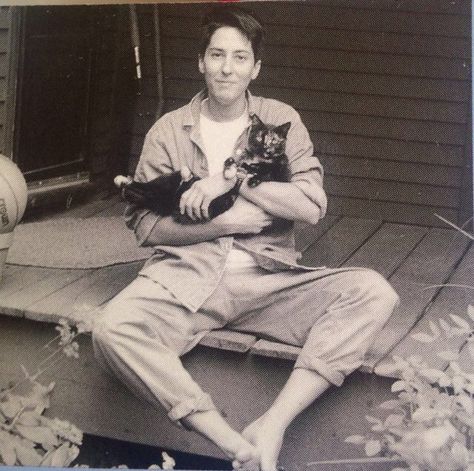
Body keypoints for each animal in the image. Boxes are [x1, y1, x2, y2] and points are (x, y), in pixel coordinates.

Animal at [115, 115, 290, 224]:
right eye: (260, 137)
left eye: (274, 140)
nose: (267, 148)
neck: (258, 158)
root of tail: (171, 200)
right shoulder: (241, 159)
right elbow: (233, 163)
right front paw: (230, 170)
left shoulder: (283, 172)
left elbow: (269, 172)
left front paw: (253, 178)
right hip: (165, 182)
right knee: (143, 188)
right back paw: (123, 180)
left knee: (142, 194)